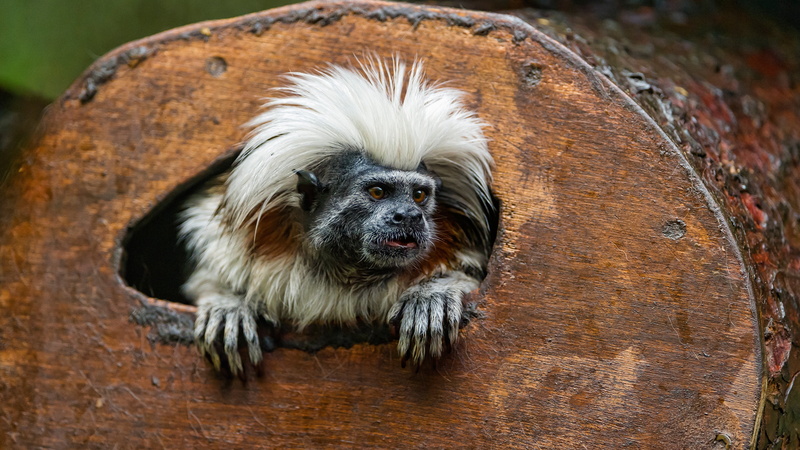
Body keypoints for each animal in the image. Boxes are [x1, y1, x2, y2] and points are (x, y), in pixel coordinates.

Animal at [179, 57, 494, 375]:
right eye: (378, 192)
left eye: (419, 195)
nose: (408, 216)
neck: (348, 271)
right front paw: (227, 305)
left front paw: (432, 296)